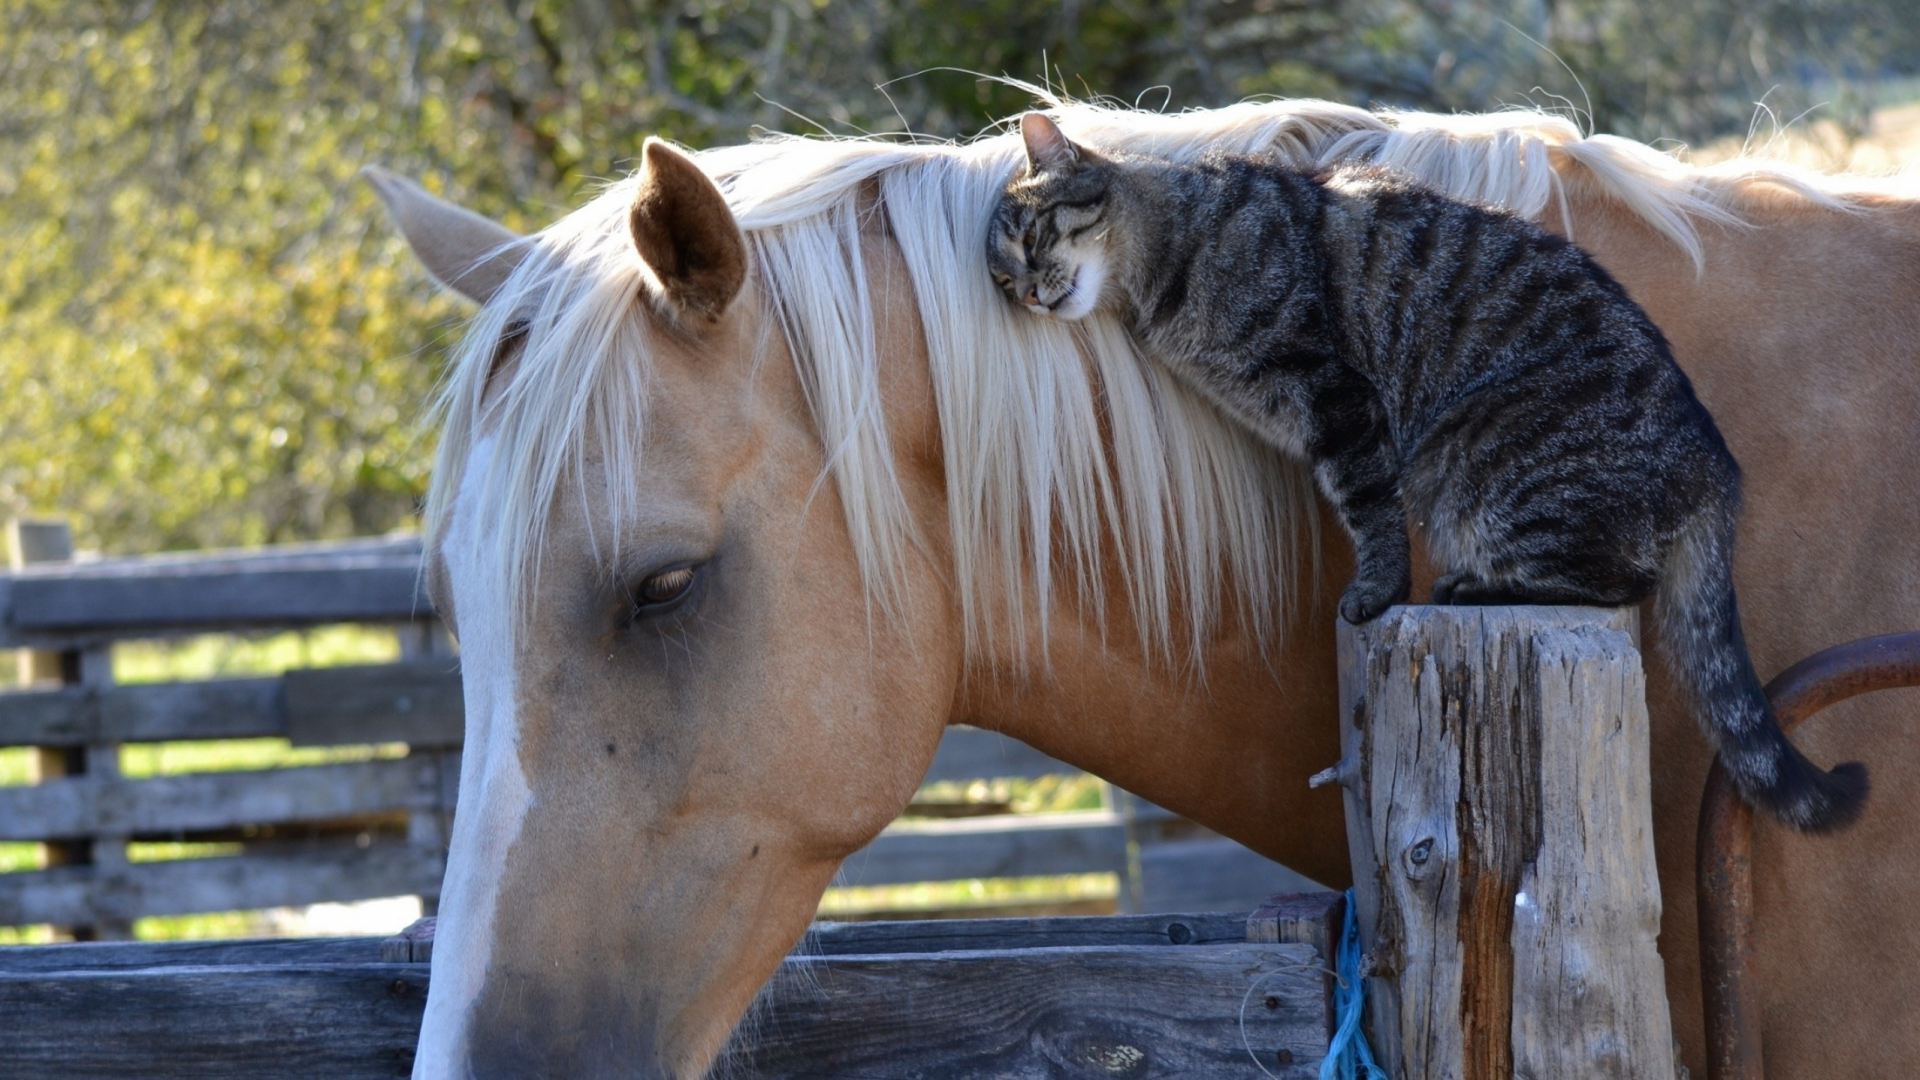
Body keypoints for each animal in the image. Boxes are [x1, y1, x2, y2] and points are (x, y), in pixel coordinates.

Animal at [998, 109, 1866, 826]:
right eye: (1004, 279)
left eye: (1032, 239)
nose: (1029, 296)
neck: (1168, 262)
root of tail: (1715, 465)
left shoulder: (1338, 399)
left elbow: (1370, 512)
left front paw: (1376, 591)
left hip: (1477, 461)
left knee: (1614, 582)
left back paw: (1472, 586)